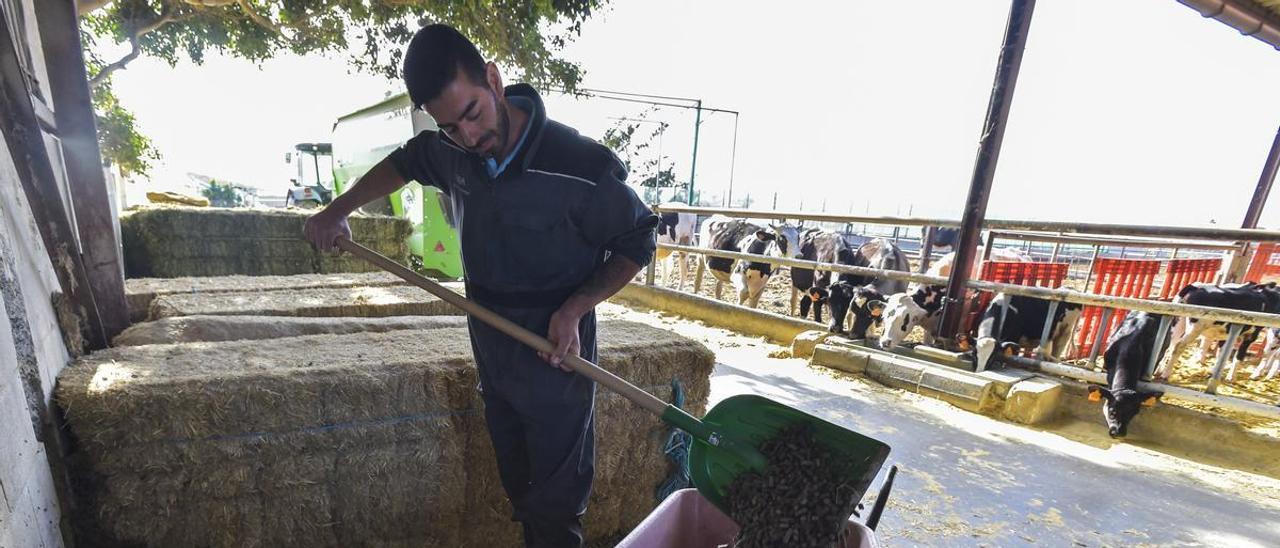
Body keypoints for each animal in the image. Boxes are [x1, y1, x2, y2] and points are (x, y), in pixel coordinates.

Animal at [1152, 282, 1280, 381]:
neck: (1265, 299)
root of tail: (1195, 287)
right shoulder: (1250, 335)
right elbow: (1238, 356)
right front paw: (1231, 378)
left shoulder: (1226, 334)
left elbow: (1222, 353)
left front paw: (1214, 372)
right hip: (1195, 327)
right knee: (1178, 346)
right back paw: (1166, 374)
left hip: (1179, 322)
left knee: (1170, 345)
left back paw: (1159, 371)